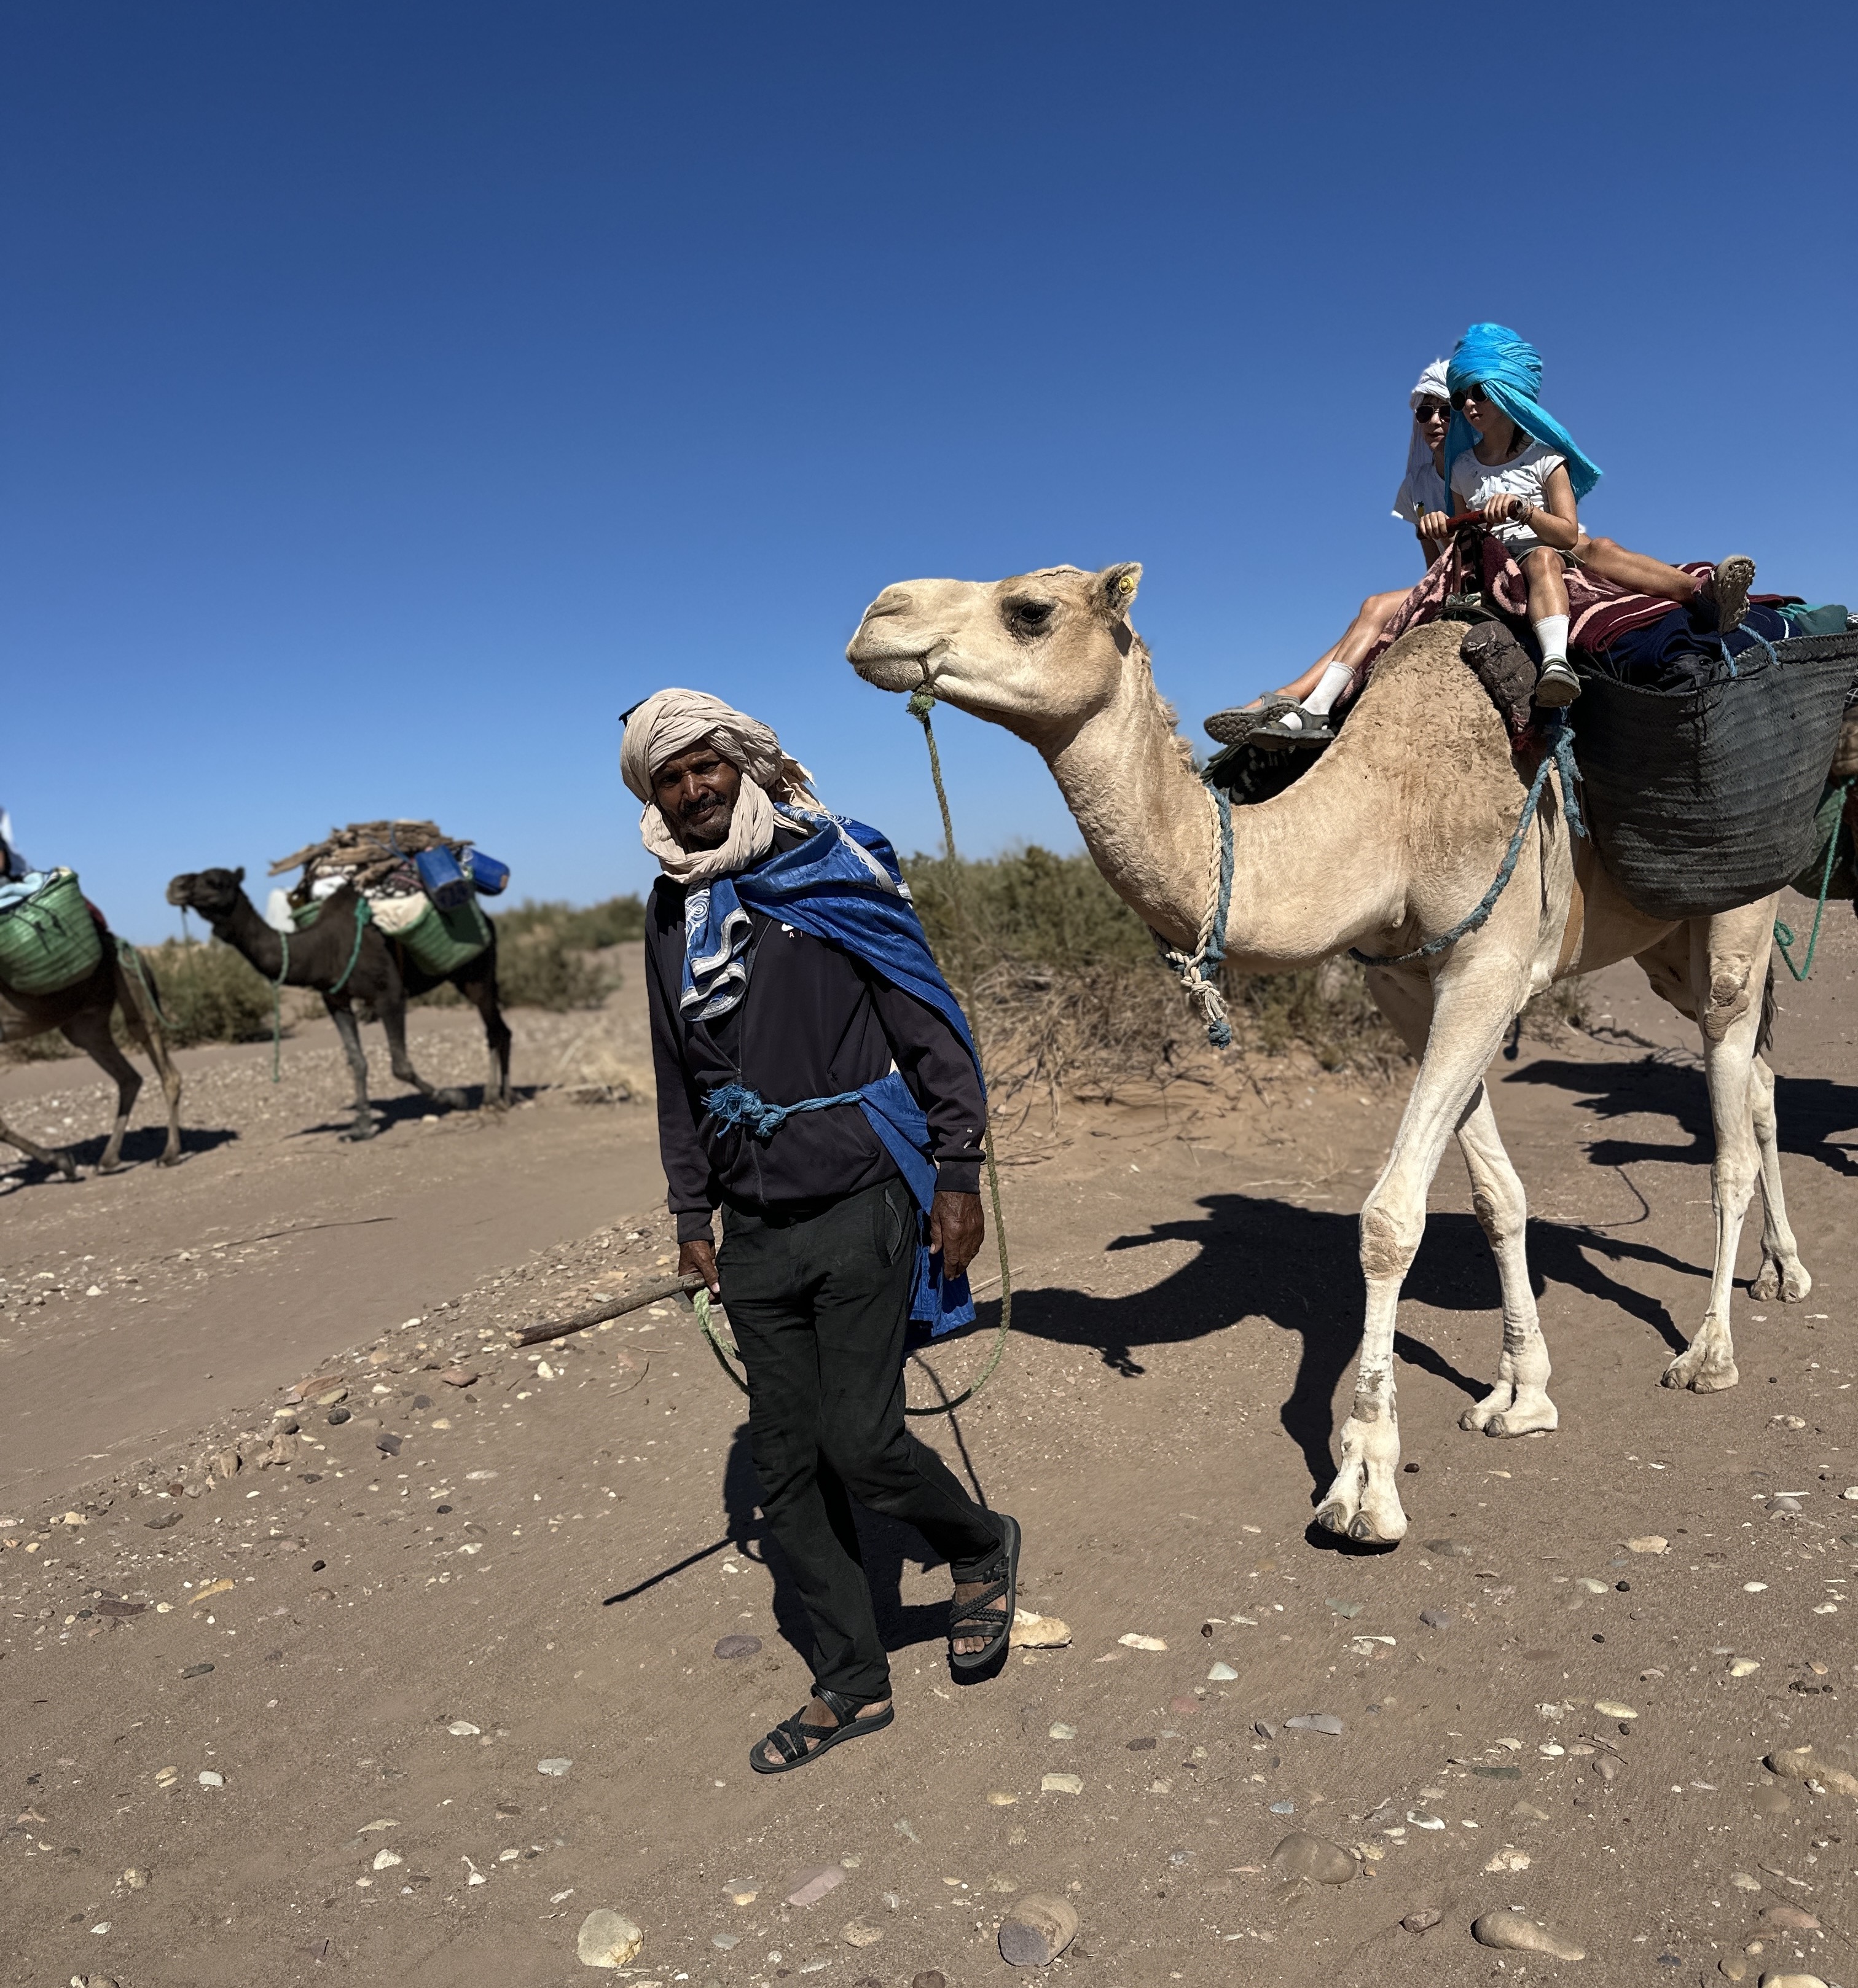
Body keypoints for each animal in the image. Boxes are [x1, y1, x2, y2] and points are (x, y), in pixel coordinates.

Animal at [0, 931, 184, 1178]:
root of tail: (125, 943)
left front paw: (62, 1162)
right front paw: (61, 1161)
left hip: (130, 980)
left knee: (154, 1051)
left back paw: (169, 1155)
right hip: (85, 1026)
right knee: (129, 1076)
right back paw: (108, 1160)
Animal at [164, 869, 512, 1139]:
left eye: (215, 881)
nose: (175, 886)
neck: (324, 948)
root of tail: (488, 920)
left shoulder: (389, 995)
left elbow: (400, 1065)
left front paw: (452, 1098)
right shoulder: (336, 1001)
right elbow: (357, 1061)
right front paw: (361, 1126)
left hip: (478, 971)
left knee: (497, 1030)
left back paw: (501, 1097)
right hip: (465, 977)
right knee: (497, 1030)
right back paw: (497, 1096)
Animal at [847, 563, 1807, 1547]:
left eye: (1030, 611)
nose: (876, 617)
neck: (1390, 806)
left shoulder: (1487, 963)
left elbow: (1391, 1219)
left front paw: (1364, 1483)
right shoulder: (1410, 985)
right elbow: (1497, 1197)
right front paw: (1522, 1394)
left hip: (1739, 905)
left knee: (1729, 1117)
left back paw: (1709, 1352)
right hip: (1662, 943)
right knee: (1759, 1079)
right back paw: (1785, 1272)